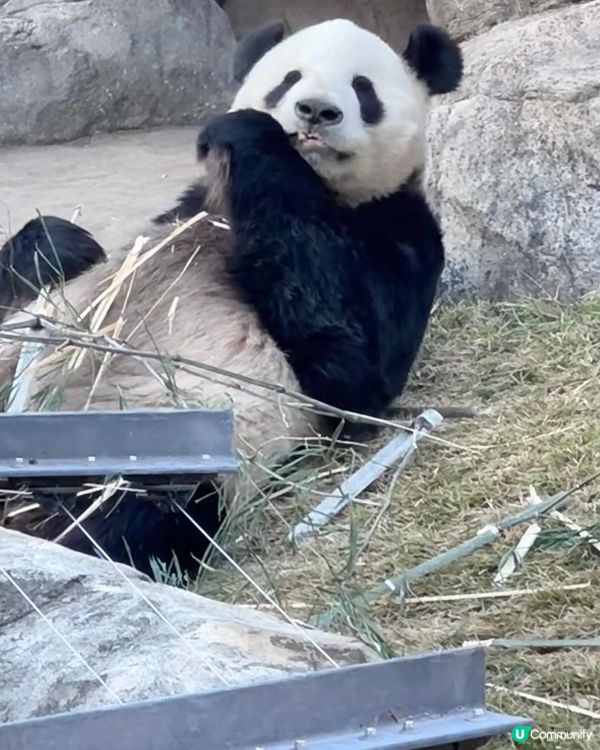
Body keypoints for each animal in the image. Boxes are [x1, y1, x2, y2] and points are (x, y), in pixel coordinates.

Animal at [0, 19, 464, 580]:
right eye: (289, 79)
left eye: (363, 89)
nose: (316, 111)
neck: (320, 186)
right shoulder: (185, 211)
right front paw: (57, 242)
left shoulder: (401, 232)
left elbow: (354, 368)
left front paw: (250, 136)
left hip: (160, 449)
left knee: (120, 513)